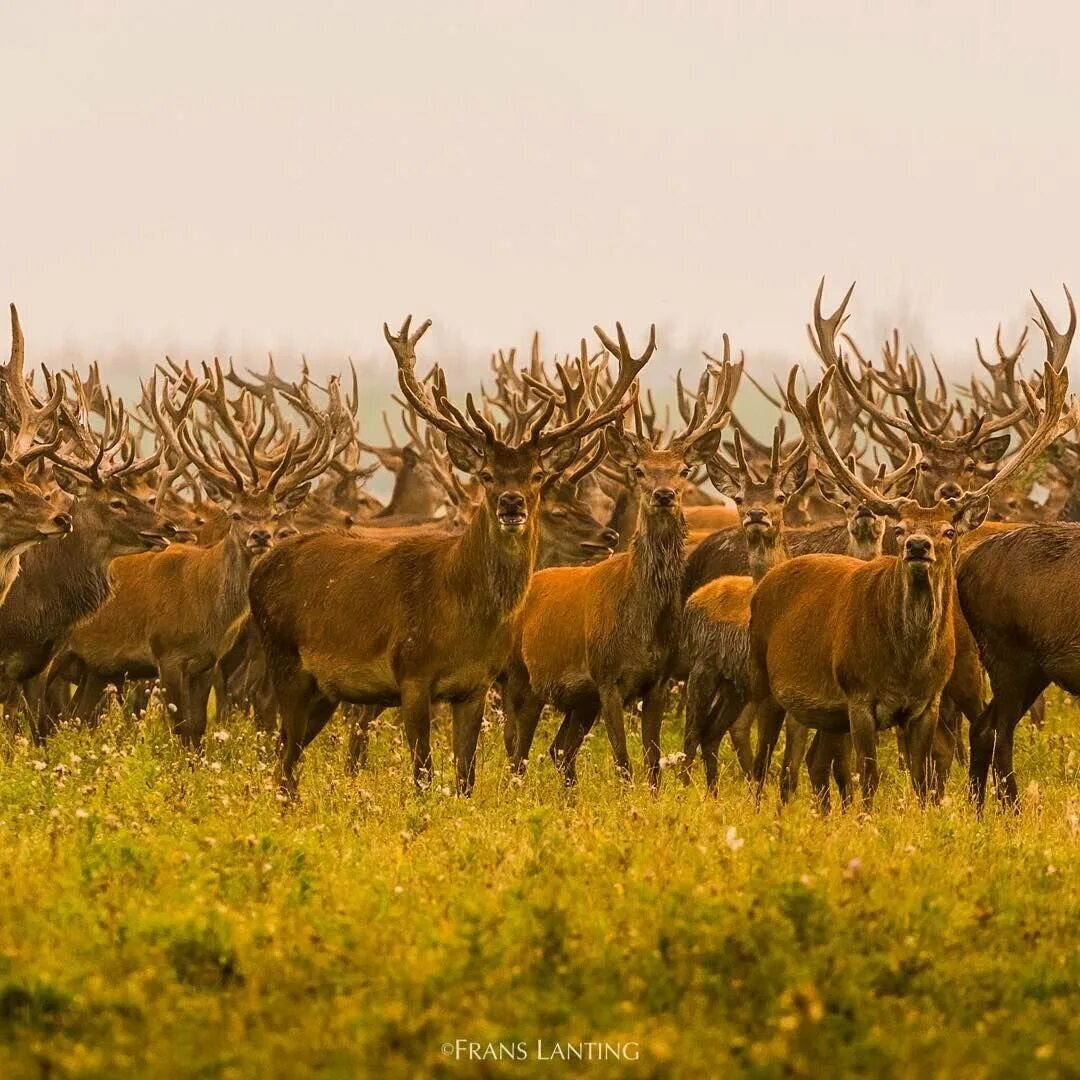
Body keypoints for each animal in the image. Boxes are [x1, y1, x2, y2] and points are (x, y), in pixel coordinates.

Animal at [503, 332, 734, 790]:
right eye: (640, 470)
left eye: (683, 470)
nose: (664, 494)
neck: (641, 623)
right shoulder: (607, 677)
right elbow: (624, 763)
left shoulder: (657, 681)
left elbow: (652, 763)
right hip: (522, 678)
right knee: (516, 753)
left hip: (578, 701)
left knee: (558, 750)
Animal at [747, 282, 1075, 807]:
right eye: (898, 528)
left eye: (948, 530)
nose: (919, 544)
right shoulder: (859, 701)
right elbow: (871, 777)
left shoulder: (927, 704)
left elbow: (923, 777)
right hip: (770, 686)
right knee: (765, 760)